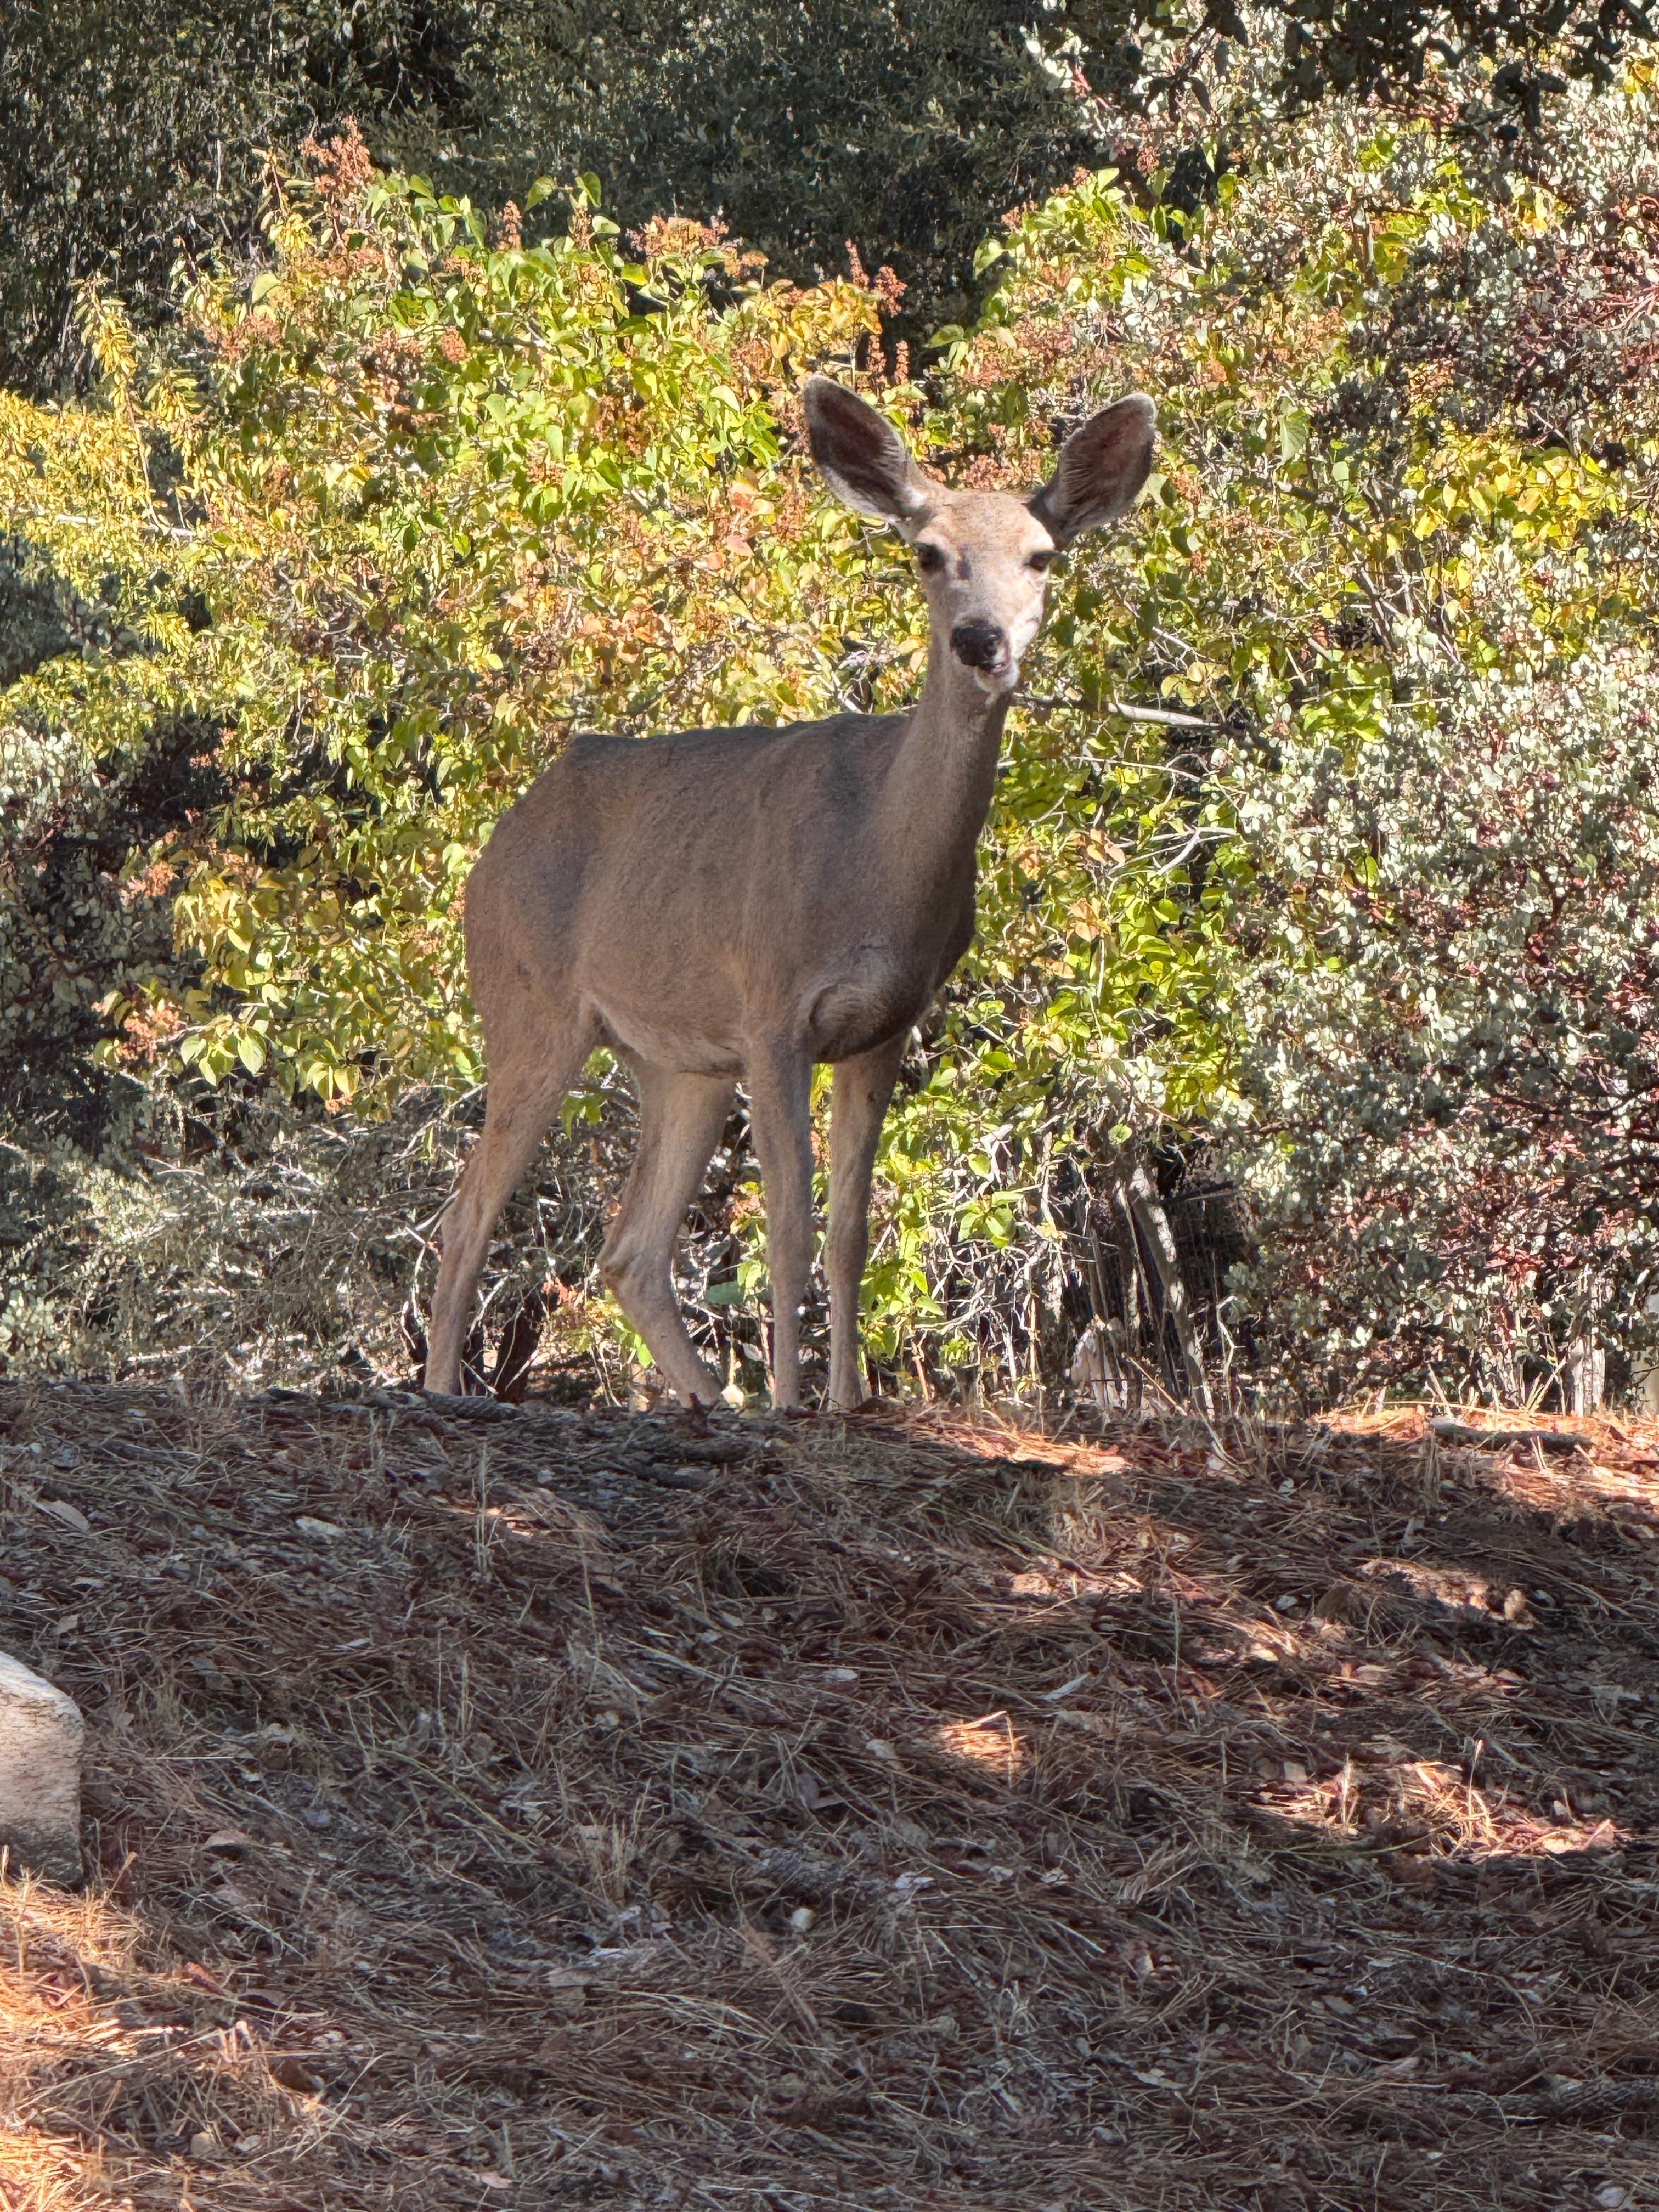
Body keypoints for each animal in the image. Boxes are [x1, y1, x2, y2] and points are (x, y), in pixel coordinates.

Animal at [423, 376, 1155, 1411]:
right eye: (928, 553)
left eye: (1041, 556)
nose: (980, 639)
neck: (879, 864)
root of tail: (492, 849)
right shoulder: (773, 1007)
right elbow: (788, 1219)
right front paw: (788, 1400)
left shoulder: (886, 1024)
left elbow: (852, 1225)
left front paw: (846, 1400)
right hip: (528, 1000)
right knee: (471, 1206)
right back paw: (446, 1386)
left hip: (680, 1061)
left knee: (628, 1250)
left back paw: (703, 1395)